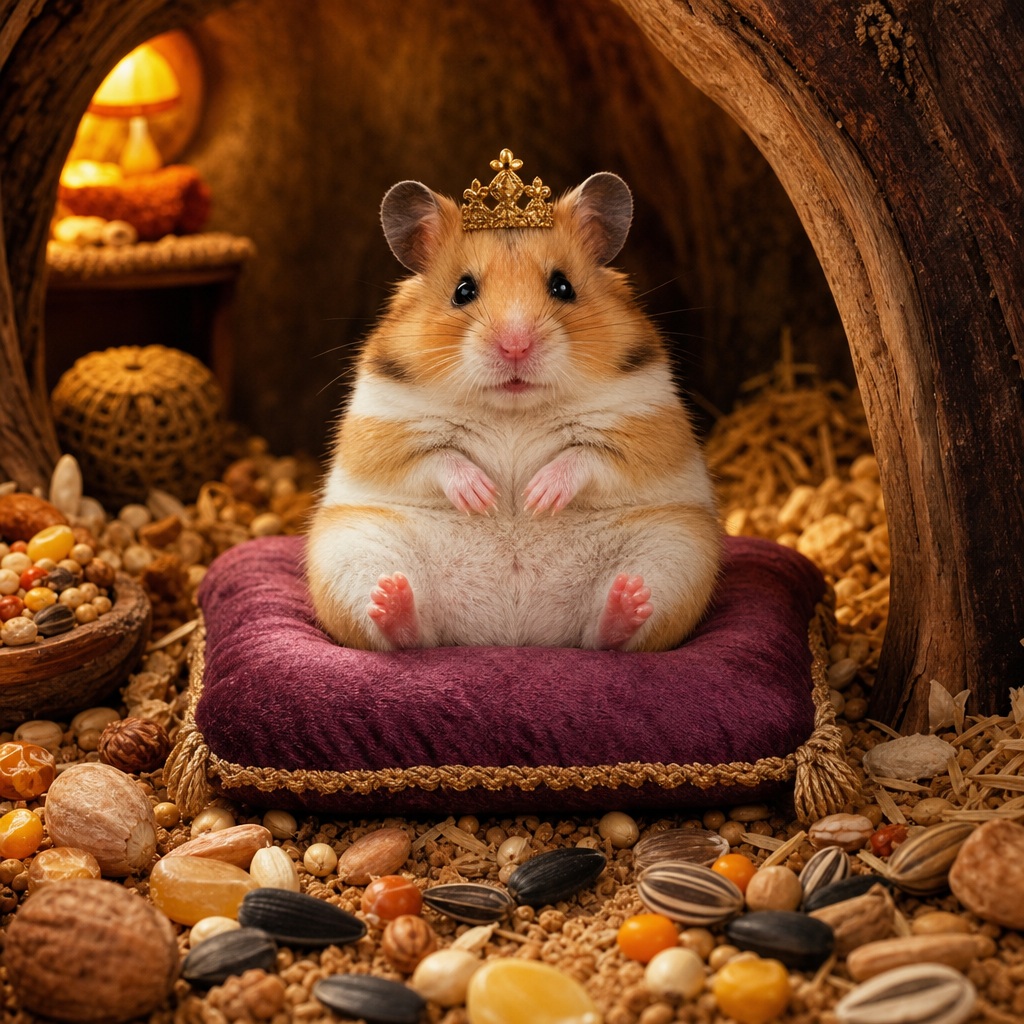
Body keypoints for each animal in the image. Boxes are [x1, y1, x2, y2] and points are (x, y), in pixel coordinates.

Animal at [306, 167, 722, 651]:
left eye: (563, 286)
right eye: (462, 290)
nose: (516, 345)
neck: (512, 409)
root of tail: (515, 631)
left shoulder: (645, 423)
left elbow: (587, 455)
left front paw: (536, 498)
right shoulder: (386, 429)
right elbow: (437, 457)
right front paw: (484, 497)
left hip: (679, 548)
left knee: (605, 636)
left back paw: (629, 599)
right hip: (349, 550)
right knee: (412, 635)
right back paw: (391, 597)